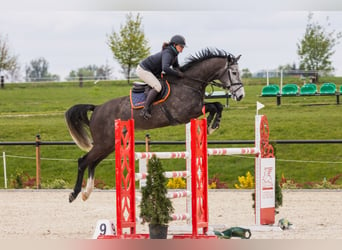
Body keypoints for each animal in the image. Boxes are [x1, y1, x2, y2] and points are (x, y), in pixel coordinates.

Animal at [65, 47, 244, 202]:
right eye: (234, 72)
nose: (241, 95)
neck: (189, 83)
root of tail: (97, 108)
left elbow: (217, 105)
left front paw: (211, 125)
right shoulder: (185, 113)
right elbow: (214, 106)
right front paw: (212, 126)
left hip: (108, 145)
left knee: (92, 163)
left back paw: (87, 193)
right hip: (103, 143)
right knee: (83, 161)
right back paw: (74, 194)